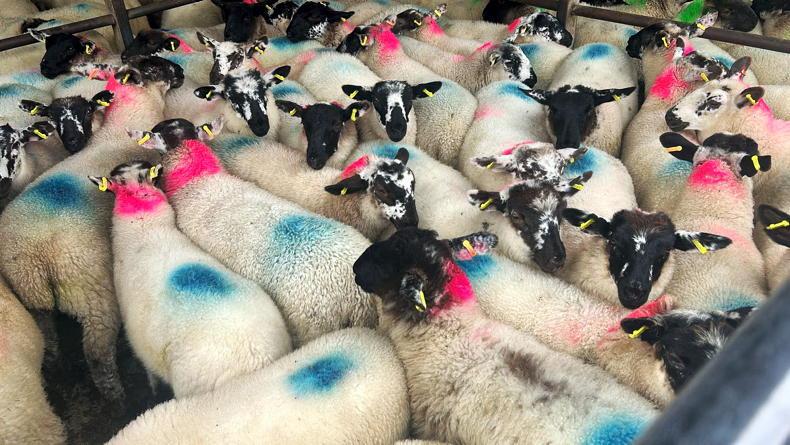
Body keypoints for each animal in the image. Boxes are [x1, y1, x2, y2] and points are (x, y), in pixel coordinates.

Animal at [0, 56, 184, 405]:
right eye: (154, 67)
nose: (180, 71)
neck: (119, 128)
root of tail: (37, 259)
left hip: (31, 297)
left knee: (48, 339)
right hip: (95, 298)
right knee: (98, 356)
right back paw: (118, 400)